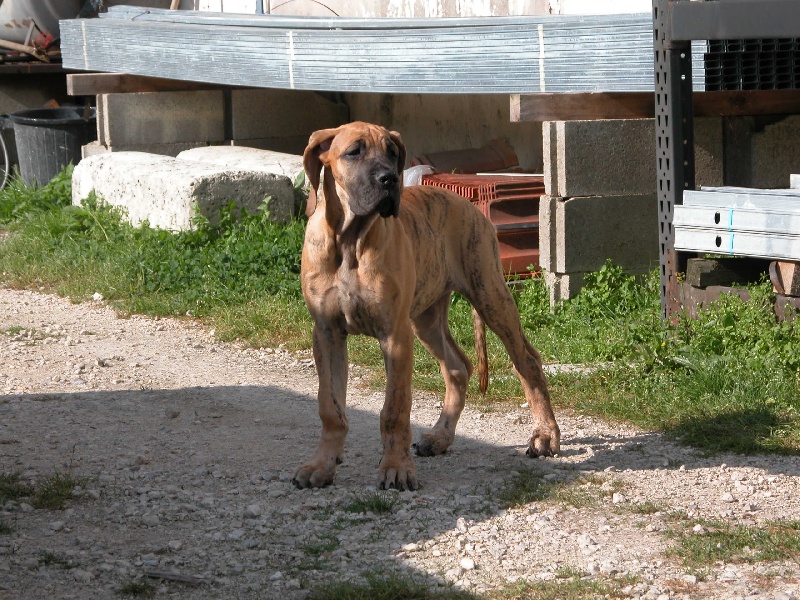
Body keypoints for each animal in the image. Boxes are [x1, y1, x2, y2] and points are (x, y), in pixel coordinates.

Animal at [294, 122, 564, 492]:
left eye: (393, 152)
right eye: (354, 152)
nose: (390, 180)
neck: (350, 241)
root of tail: (466, 203)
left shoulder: (395, 337)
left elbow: (394, 409)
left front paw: (396, 468)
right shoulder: (326, 333)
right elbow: (329, 406)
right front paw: (322, 464)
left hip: (490, 295)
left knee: (527, 362)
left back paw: (545, 435)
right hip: (426, 319)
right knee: (458, 367)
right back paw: (440, 437)